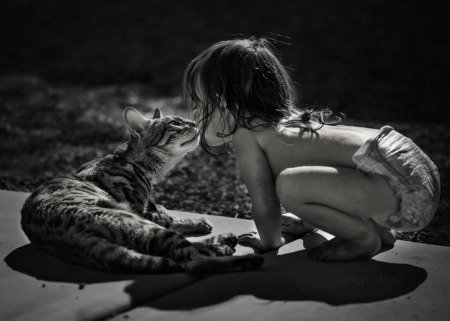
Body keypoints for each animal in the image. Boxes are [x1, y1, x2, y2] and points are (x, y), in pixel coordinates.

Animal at [21, 107, 264, 272]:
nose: (194, 123)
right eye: (175, 123)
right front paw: (194, 221)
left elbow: (165, 213)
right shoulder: (140, 210)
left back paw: (224, 242)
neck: (133, 163)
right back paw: (235, 253)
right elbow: (171, 219)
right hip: (132, 220)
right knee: (187, 257)